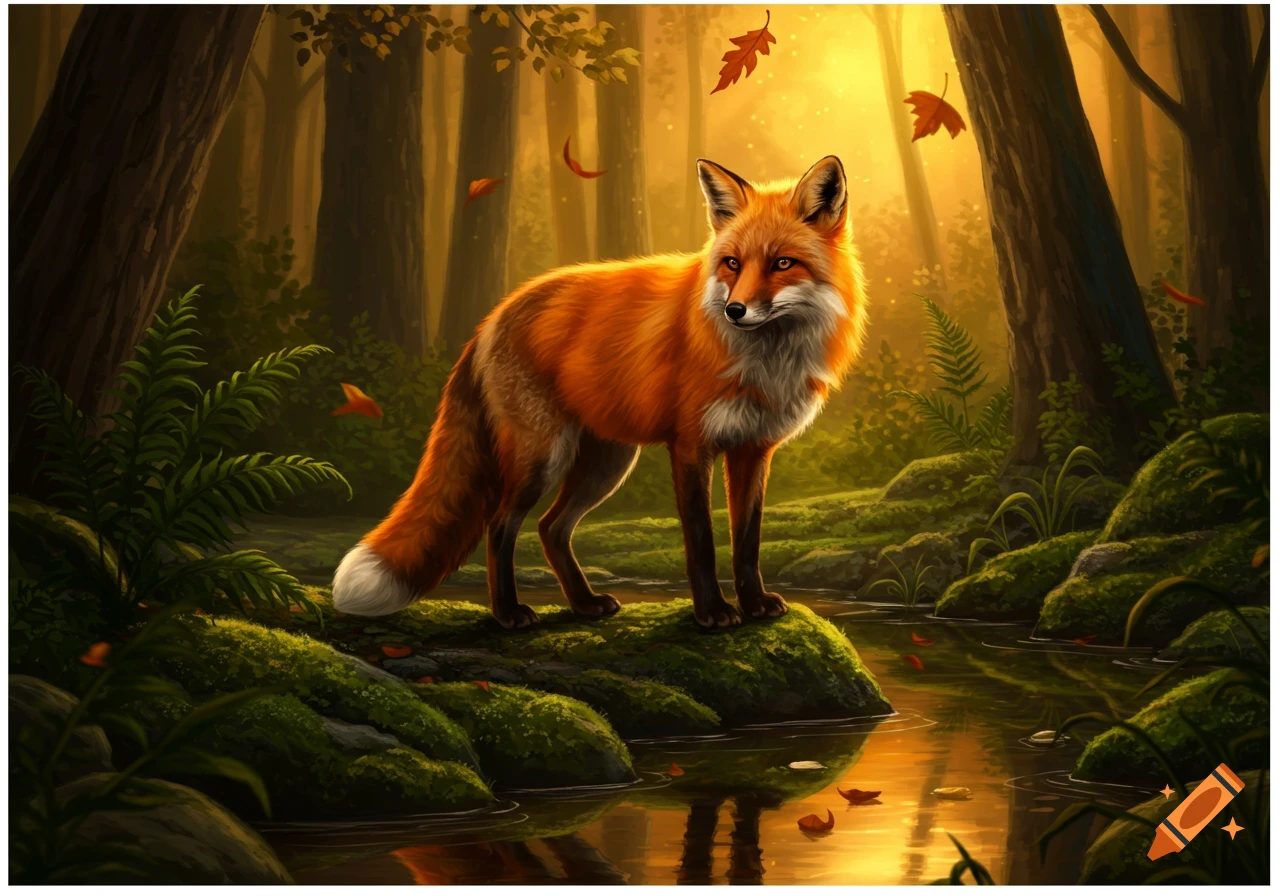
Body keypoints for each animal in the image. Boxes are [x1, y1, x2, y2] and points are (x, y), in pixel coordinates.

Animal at [331, 155, 868, 630]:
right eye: (733, 264)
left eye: (783, 263)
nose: (734, 310)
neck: (766, 362)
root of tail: (495, 313)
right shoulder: (690, 446)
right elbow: (700, 541)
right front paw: (713, 613)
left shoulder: (753, 449)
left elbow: (747, 542)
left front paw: (754, 605)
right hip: (543, 457)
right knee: (500, 526)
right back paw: (508, 614)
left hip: (607, 462)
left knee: (551, 528)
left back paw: (584, 604)